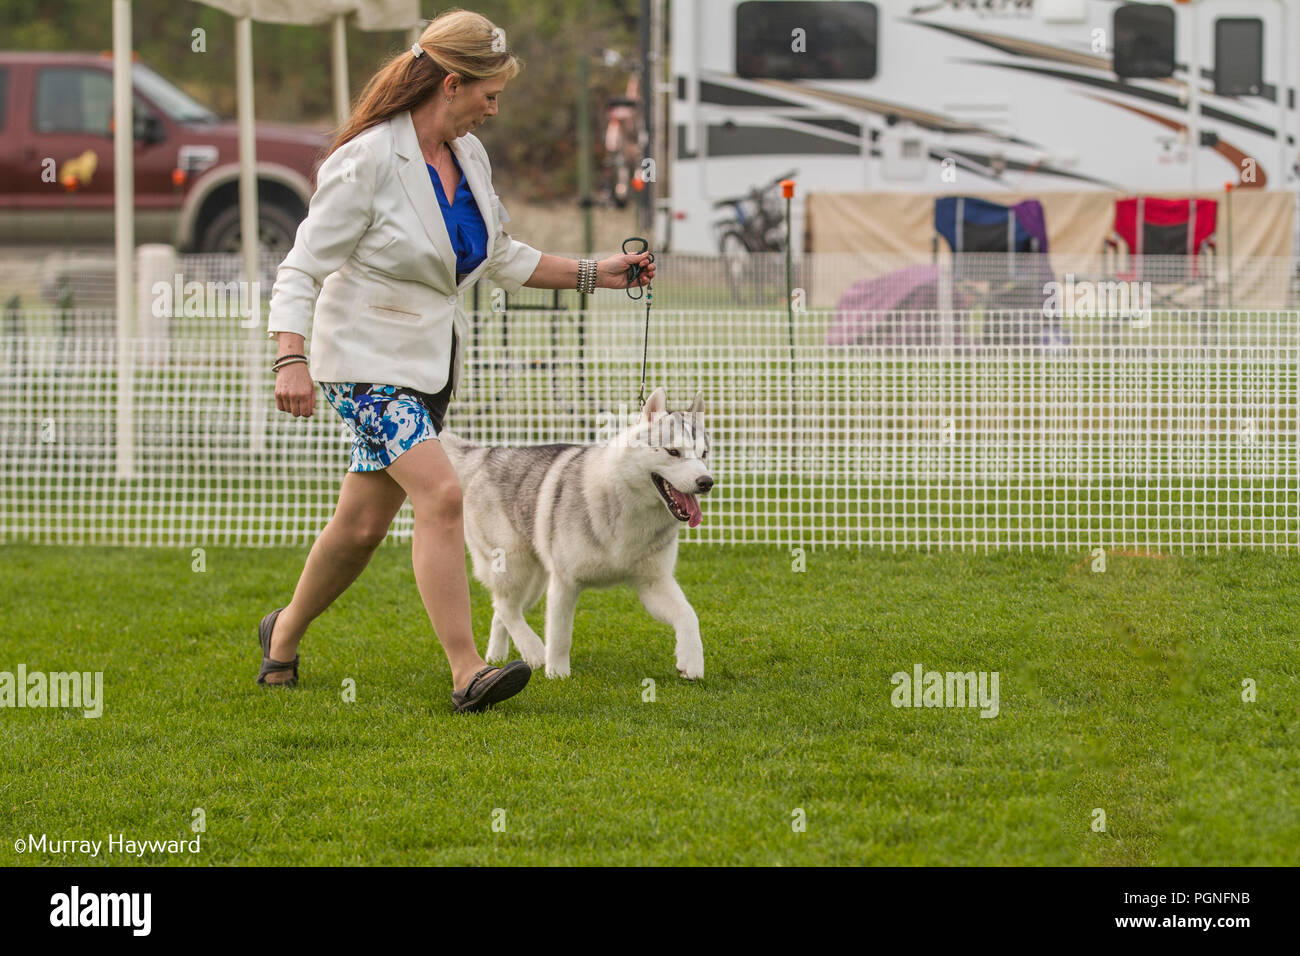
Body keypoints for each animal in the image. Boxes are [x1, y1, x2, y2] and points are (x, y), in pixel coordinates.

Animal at [441, 385, 717, 676]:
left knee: (501, 610)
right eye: (673, 452)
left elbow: (688, 614)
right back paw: (534, 651)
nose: (706, 482)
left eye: (704, 454)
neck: (629, 508)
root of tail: (486, 454)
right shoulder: (564, 583)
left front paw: (691, 661)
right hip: (514, 566)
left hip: (534, 582)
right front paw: (557, 673)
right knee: (506, 608)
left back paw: (497, 655)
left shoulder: (654, 584)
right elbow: (560, 635)